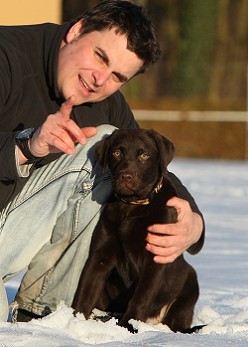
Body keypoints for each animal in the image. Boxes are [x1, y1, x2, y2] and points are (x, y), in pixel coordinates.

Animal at [72, 128, 200, 334]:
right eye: (117, 153)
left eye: (144, 155)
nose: (126, 176)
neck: (131, 207)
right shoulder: (100, 255)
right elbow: (86, 290)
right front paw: (73, 321)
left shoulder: (155, 257)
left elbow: (142, 296)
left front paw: (128, 326)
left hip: (190, 281)